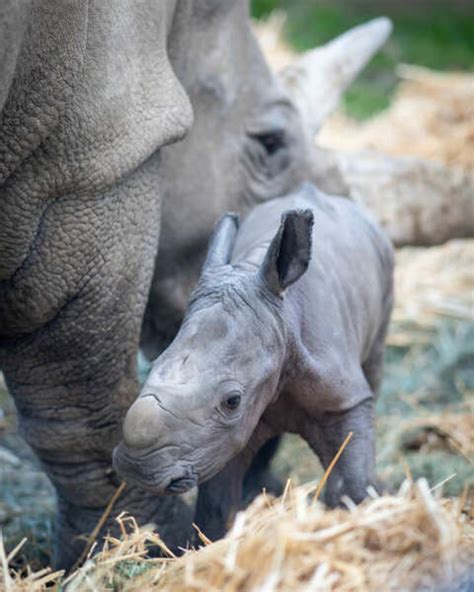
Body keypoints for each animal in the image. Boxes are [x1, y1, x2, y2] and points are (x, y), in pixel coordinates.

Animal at [114, 183, 392, 540]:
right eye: (152, 365)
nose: (140, 470)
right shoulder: (217, 439)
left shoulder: (343, 398)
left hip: (384, 263)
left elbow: (352, 484)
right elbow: (217, 508)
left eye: (232, 400)